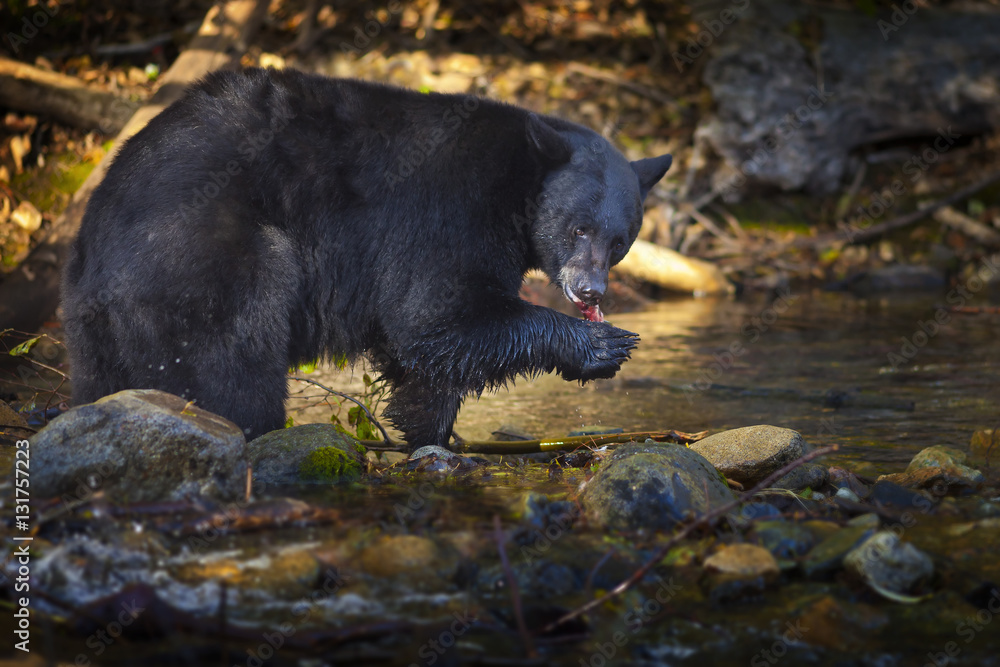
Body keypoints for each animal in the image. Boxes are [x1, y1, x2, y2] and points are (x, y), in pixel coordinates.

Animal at [61, 67, 672, 448]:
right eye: (579, 227)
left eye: (620, 241)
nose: (590, 291)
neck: (518, 183)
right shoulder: (450, 211)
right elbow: (436, 316)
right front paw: (601, 344)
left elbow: (425, 353)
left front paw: (429, 434)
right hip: (199, 256)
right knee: (232, 352)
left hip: (98, 331)